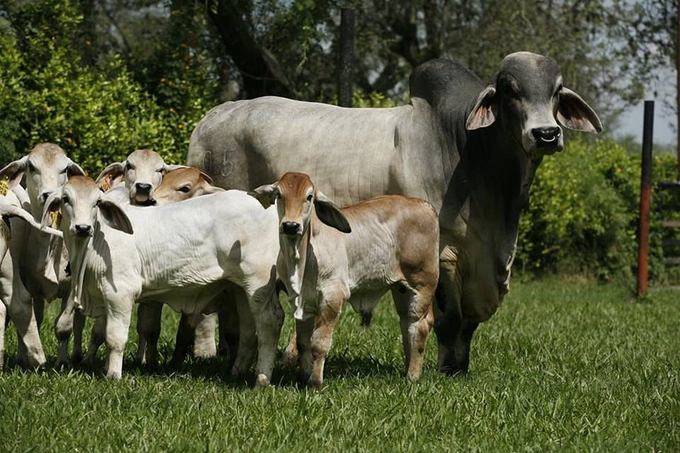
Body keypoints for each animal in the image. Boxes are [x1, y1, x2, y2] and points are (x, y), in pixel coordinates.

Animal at [41, 175, 282, 384]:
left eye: (97, 202)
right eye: (66, 199)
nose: (83, 227)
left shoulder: (120, 294)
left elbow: (115, 338)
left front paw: (113, 375)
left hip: (259, 282)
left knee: (270, 321)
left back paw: (262, 380)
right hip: (240, 287)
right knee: (249, 329)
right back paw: (236, 372)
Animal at [251, 172, 439, 388]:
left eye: (309, 197)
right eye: (279, 195)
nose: (291, 225)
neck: (302, 260)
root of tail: (424, 205)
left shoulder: (333, 297)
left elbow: (319, 343)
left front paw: (315, 382)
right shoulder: (302, 303)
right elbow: (303, 343)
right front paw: (303, 378)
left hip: (422, 284)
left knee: (419, 326)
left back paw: (413, 376)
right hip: (401, 288)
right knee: (406, 323)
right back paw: (408, 368)